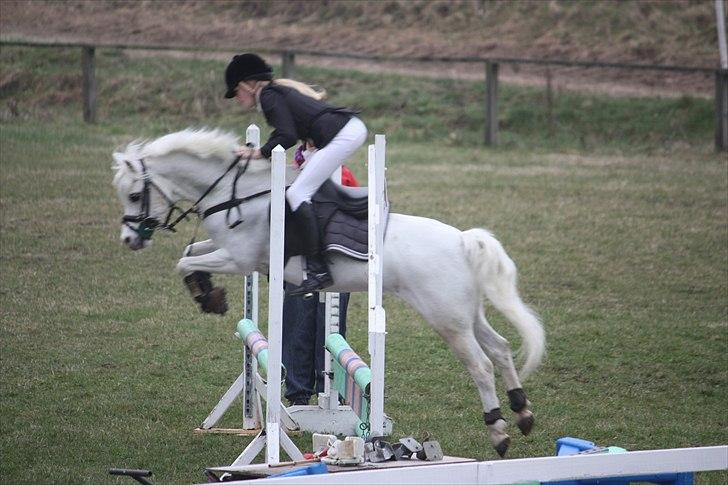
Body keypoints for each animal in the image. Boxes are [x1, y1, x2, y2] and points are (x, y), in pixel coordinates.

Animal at [112, 126, 544, 456]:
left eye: (134, 195)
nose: (130, 240)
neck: (235, 195)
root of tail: (462, 240)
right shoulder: (235, 256)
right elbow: (190, 254)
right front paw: (208, 292)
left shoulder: (238, 257)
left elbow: (184, 261)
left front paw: (208, 297)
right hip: (465, 313)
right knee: (501, 348)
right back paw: (522, 413)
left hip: (447, 319)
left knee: (482, 365)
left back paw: (499, 432)